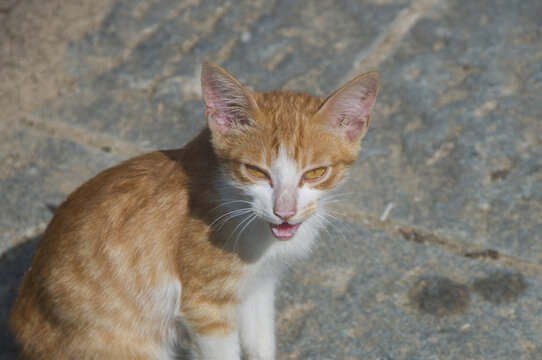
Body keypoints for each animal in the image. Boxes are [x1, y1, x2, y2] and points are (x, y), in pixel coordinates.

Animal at [10, 62, 380, 360]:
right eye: (256, 171)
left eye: (315, 173)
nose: (284, 211)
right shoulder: (206, 309)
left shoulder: (258, 287)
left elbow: (260, 341)